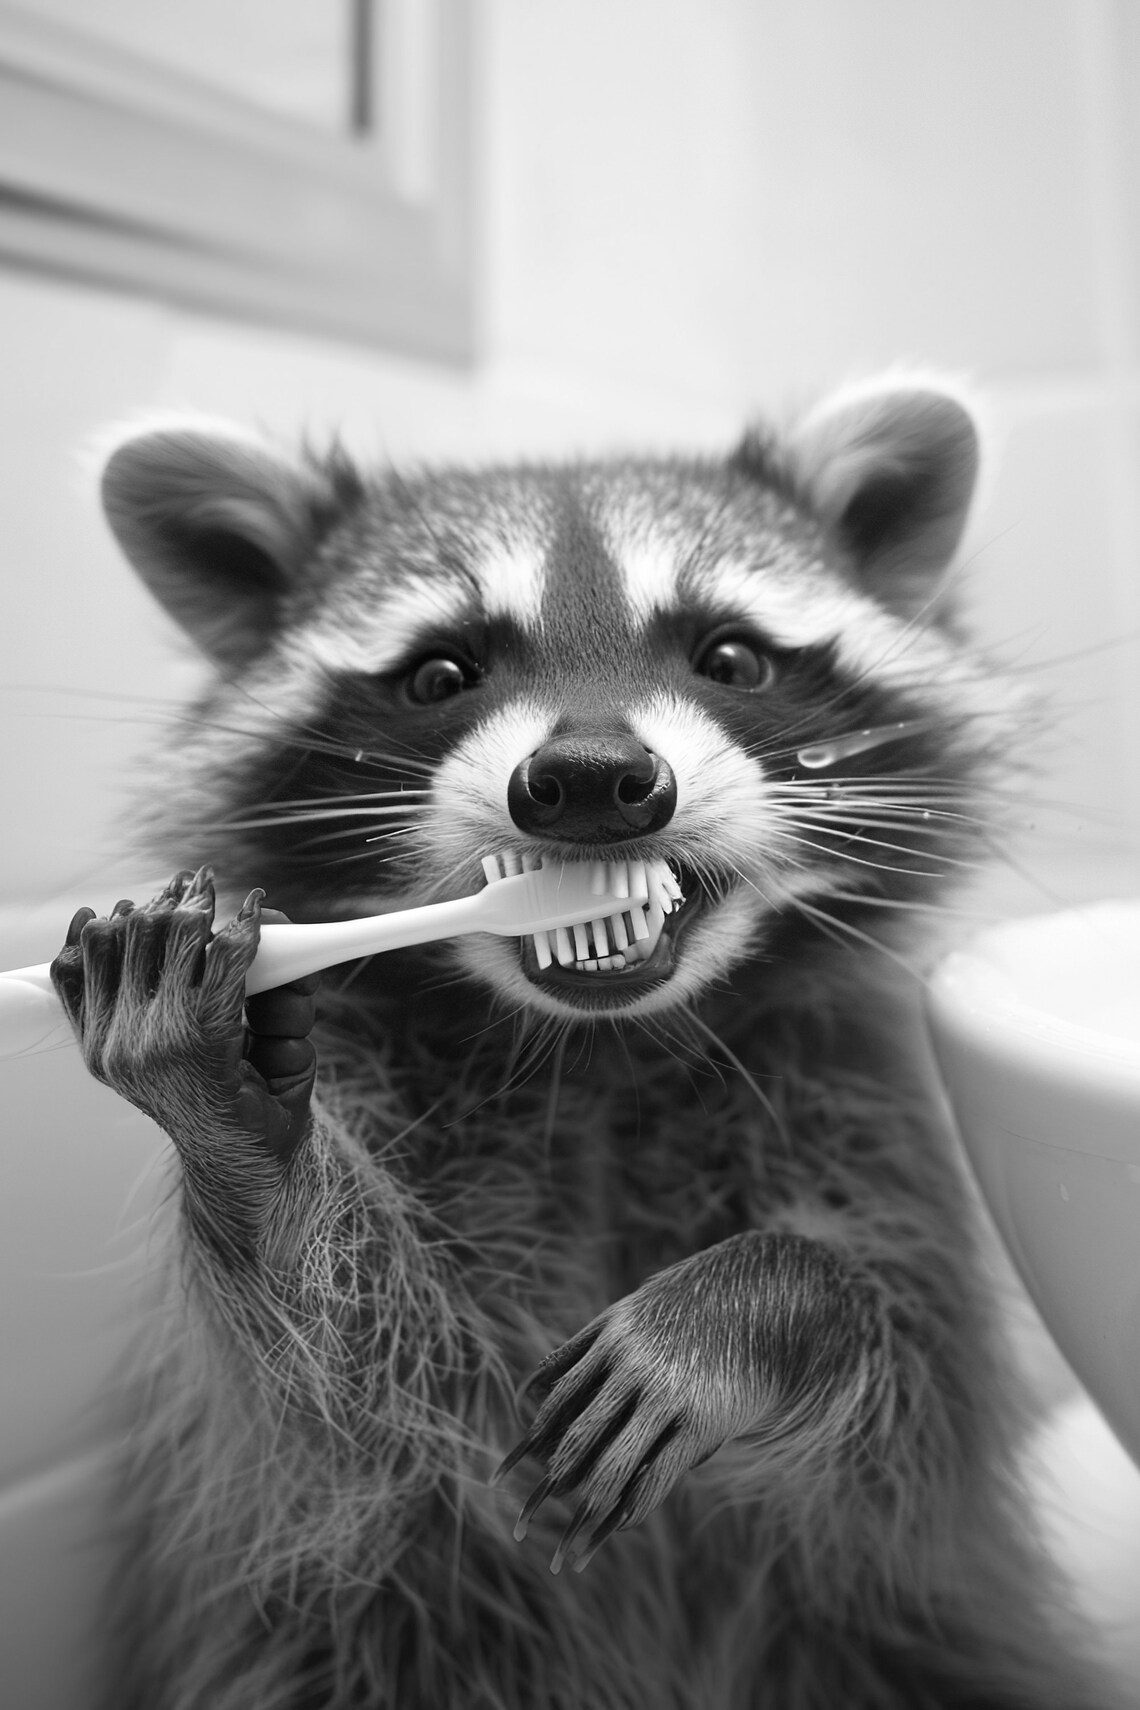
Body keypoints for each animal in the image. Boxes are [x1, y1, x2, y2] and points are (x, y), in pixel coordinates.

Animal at [50, 379, 1121, 1709]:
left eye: (730, 656)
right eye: (439, 673)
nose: (593, 777)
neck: (600, 1049)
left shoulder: (864, 1115)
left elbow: (903, 1424)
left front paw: (765, 1304)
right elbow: (353, 1400)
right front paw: (246, 1145)